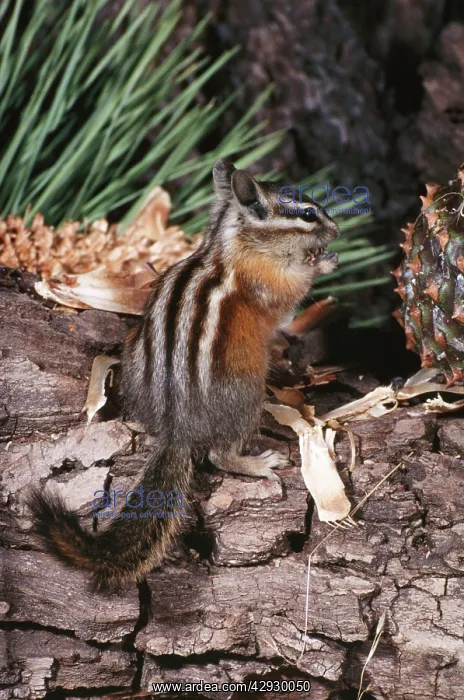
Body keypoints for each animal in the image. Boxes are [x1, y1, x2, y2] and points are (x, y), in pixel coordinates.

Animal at [29, 160, 339, 588]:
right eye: (309, 214)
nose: (336, 230)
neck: (233, 243)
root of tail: (178, 428)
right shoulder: (269, 281)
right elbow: (292, 291)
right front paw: (322, 261)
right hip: (246, 395)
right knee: (219, 455)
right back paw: (259, 463)